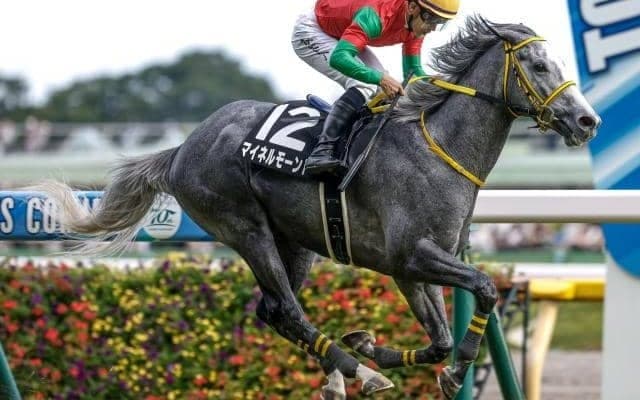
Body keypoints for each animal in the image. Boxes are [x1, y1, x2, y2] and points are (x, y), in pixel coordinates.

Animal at [37, 16, 600, 399]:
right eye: (539, 65)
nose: (586, 120)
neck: (437, 148)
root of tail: (182, 148)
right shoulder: (414, 255)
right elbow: (483, 289)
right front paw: (454, 368)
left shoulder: (410, 266)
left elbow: (439, 336)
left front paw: (378, 345)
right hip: (246, 229)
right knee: (287, 308)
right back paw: (359, 374)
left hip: (297, 243)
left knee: (273, 311)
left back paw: (340, 372)